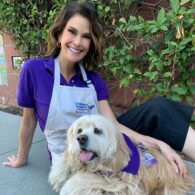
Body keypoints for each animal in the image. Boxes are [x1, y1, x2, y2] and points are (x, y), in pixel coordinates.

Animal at [49, 115, 193, 194]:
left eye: (97, 130)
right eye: (79, 130)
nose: (81, 138)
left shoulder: (128, 185)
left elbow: (89, 179)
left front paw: (71, 185)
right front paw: (59, 174)